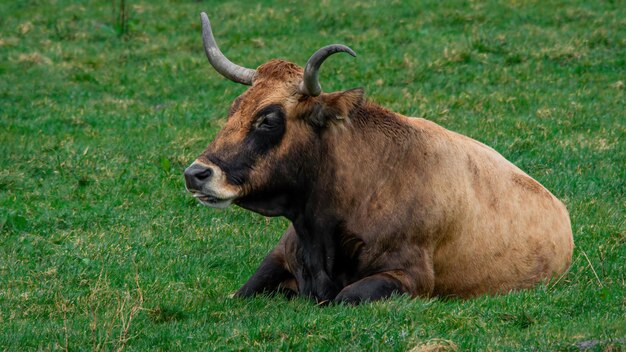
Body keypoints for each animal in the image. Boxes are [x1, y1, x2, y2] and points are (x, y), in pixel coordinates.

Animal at [184, 12, 572, 304]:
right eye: (234, 108)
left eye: (269, 119)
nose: (195, 173)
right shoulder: (277, 257)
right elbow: (241, 292)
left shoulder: (409, 277)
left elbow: (345, 297)